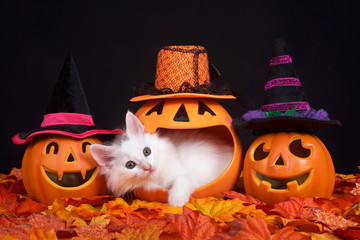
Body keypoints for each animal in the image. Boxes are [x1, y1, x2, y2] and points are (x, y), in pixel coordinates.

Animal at [90, 110, 233, 206]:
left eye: (147, 151)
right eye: (130, 165)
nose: (147, 167)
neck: (158, 178)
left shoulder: (185, 174)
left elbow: (181, 182)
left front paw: (176, 200)